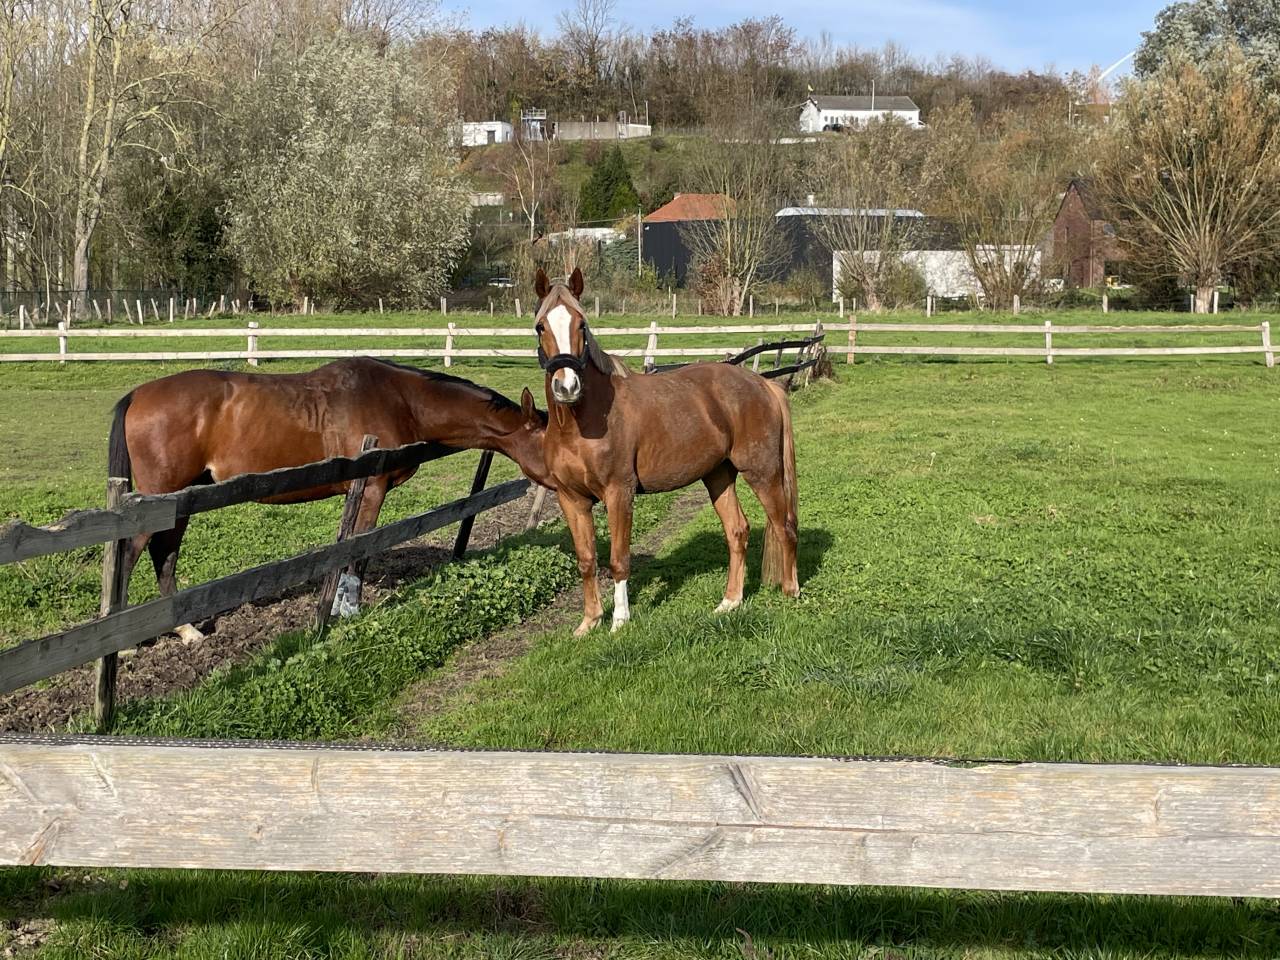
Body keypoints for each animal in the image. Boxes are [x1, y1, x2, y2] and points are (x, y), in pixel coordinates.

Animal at [108, 357, 550, 642]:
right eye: (549, 440)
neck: (400, 398)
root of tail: (137, 395)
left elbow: (347, 548)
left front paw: (336, 605)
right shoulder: (371, 490)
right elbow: (359, 551)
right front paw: (349, 609)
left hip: (181, 501)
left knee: (164, 555)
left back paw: (185, 631)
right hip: (157, 501)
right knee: (129, 556)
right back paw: (127, 643)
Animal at [533, 267, 799, 636]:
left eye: (581, 324)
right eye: (541, 326)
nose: (566, 386)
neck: (582, 423)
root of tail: (764, 384)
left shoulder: (619, 493)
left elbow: (618, 559)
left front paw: (619, 622)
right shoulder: (571, 499)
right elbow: (587, 560)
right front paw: (588, 623)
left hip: (763, 472)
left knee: (783, 525)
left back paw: (791, 592)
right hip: (718, 476)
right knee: (737, 532)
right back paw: (730, 602)